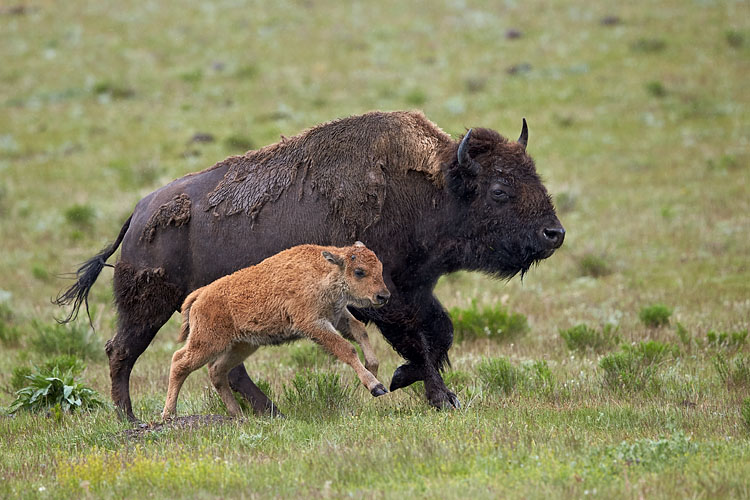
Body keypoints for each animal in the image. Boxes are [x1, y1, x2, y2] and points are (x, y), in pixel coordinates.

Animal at [161, 242, 390, 418]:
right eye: (359, 271)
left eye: (380, 267)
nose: (383, 296)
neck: (323, 271)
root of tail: (201, 294)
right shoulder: (314, 325)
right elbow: (346, 349)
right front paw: (376, 387)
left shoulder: (338, 315)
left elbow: (360, 331)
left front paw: (373, 367)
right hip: (208, 343)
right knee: (179, 362)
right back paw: (169, 414)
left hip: (242, 346)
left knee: (217, 370)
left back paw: (238, 414)